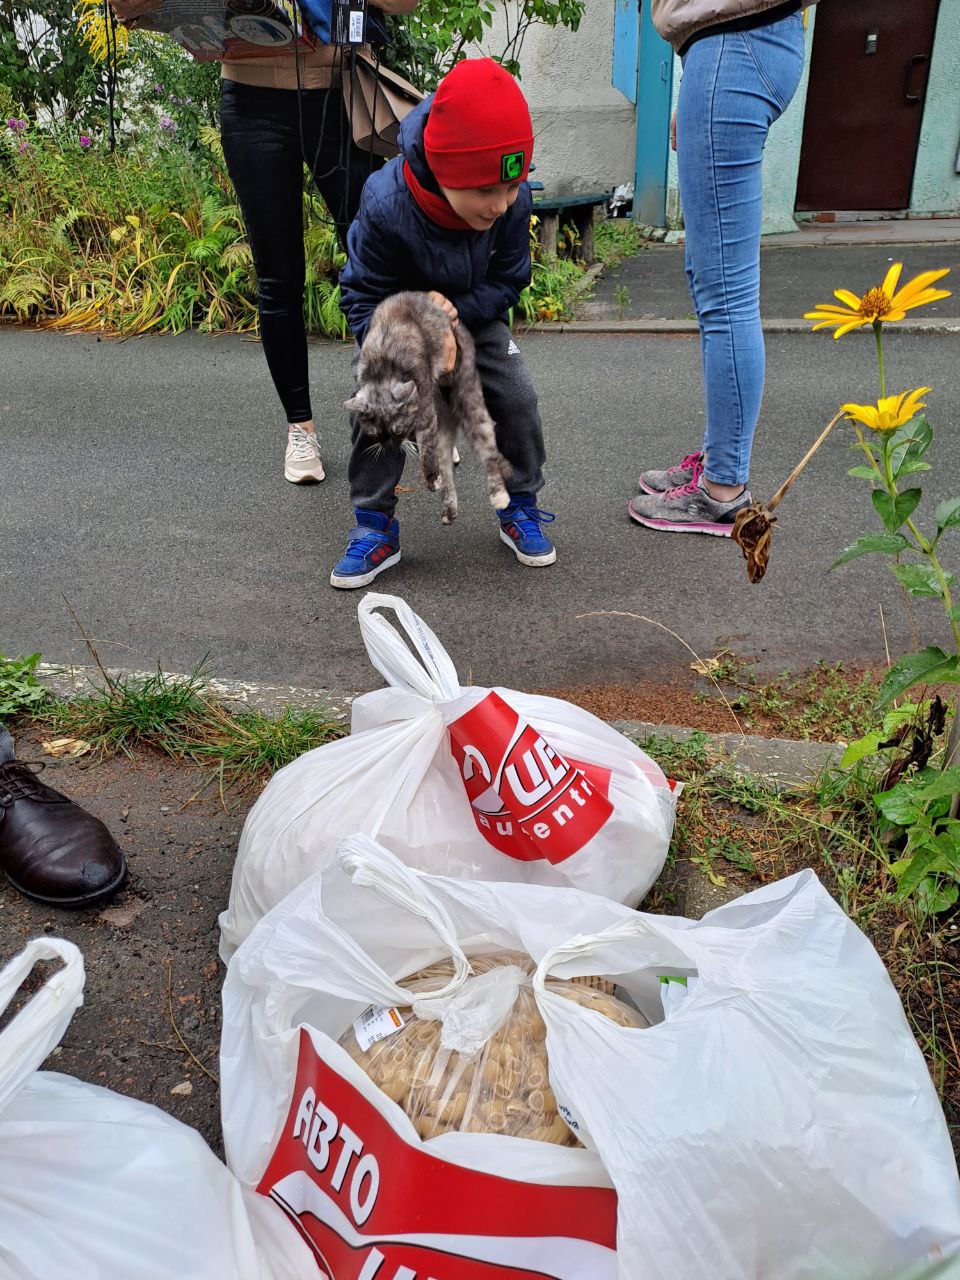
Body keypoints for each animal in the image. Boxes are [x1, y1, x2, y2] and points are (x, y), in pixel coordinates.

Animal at [343, 291, 512, 525]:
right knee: (447, 468)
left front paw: (431, 477)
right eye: (375, 433)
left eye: (397, 431)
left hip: (469, 402)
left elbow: (428, 452)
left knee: (489, 454)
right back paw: (449, 509)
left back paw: (499, 496)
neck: (382, 369)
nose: (389, 446)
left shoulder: (426, 416)